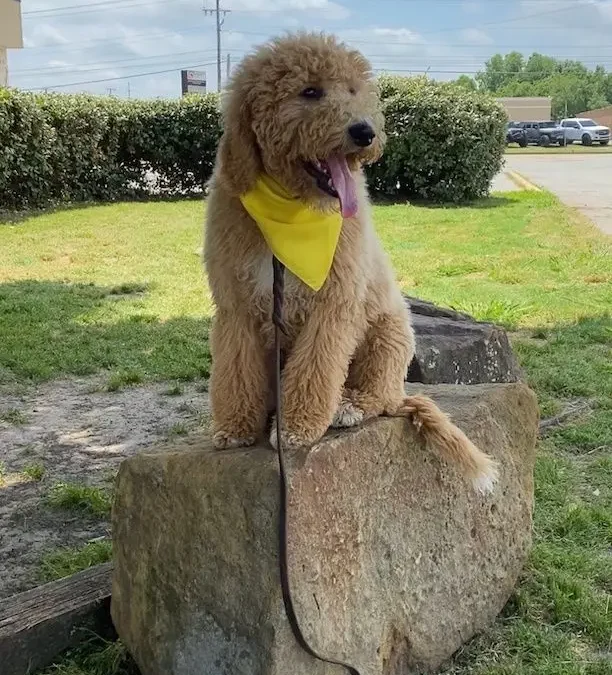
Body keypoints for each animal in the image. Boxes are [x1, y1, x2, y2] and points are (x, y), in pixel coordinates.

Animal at [203, 34, 500, 494]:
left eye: (354, 90)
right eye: (310, 91)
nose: (365, 132)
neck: (293, 212)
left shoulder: (334, 304)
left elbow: (316, 368)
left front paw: (297, 427)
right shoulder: (236, 304)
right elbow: (235, 368)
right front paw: (235, 427)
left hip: (389, 334)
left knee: (376, 397)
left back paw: (347, 406)